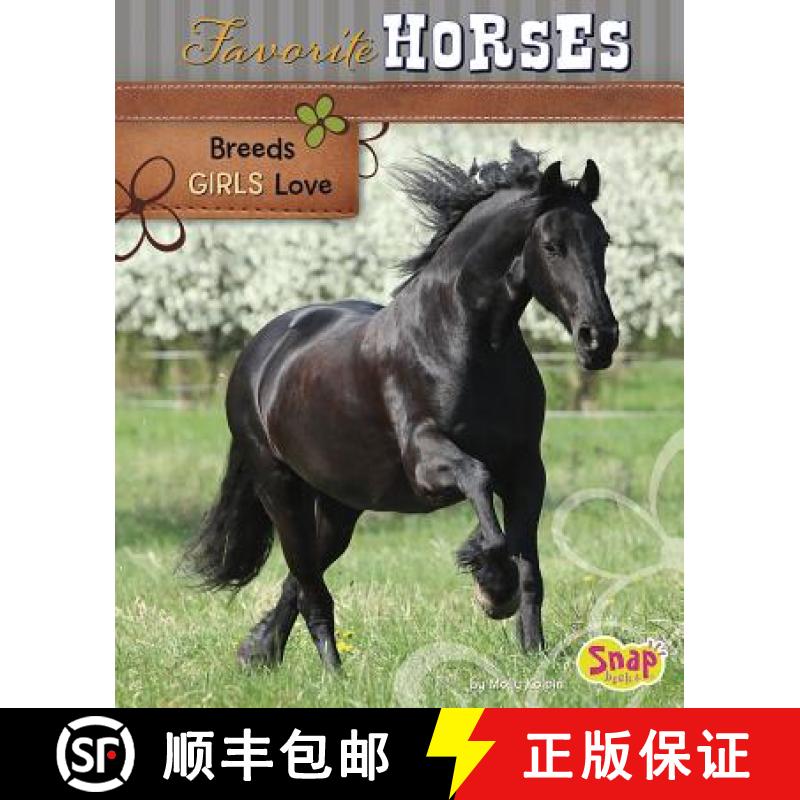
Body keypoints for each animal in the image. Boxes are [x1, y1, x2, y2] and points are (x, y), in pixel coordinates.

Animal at [184, 142, 619, 670]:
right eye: (553, 245)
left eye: (603, 241)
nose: (599, 339)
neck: (465, 340)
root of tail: (259, 352)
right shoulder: (427, 465)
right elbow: (480, 486)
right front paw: (492, 588)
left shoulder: (525, 470)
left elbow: (531, 571)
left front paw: (533, 654)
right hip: (279, 489)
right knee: (311, 590)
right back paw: (333, 675)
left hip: (340, 506)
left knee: (300, 579)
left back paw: (258, 652)